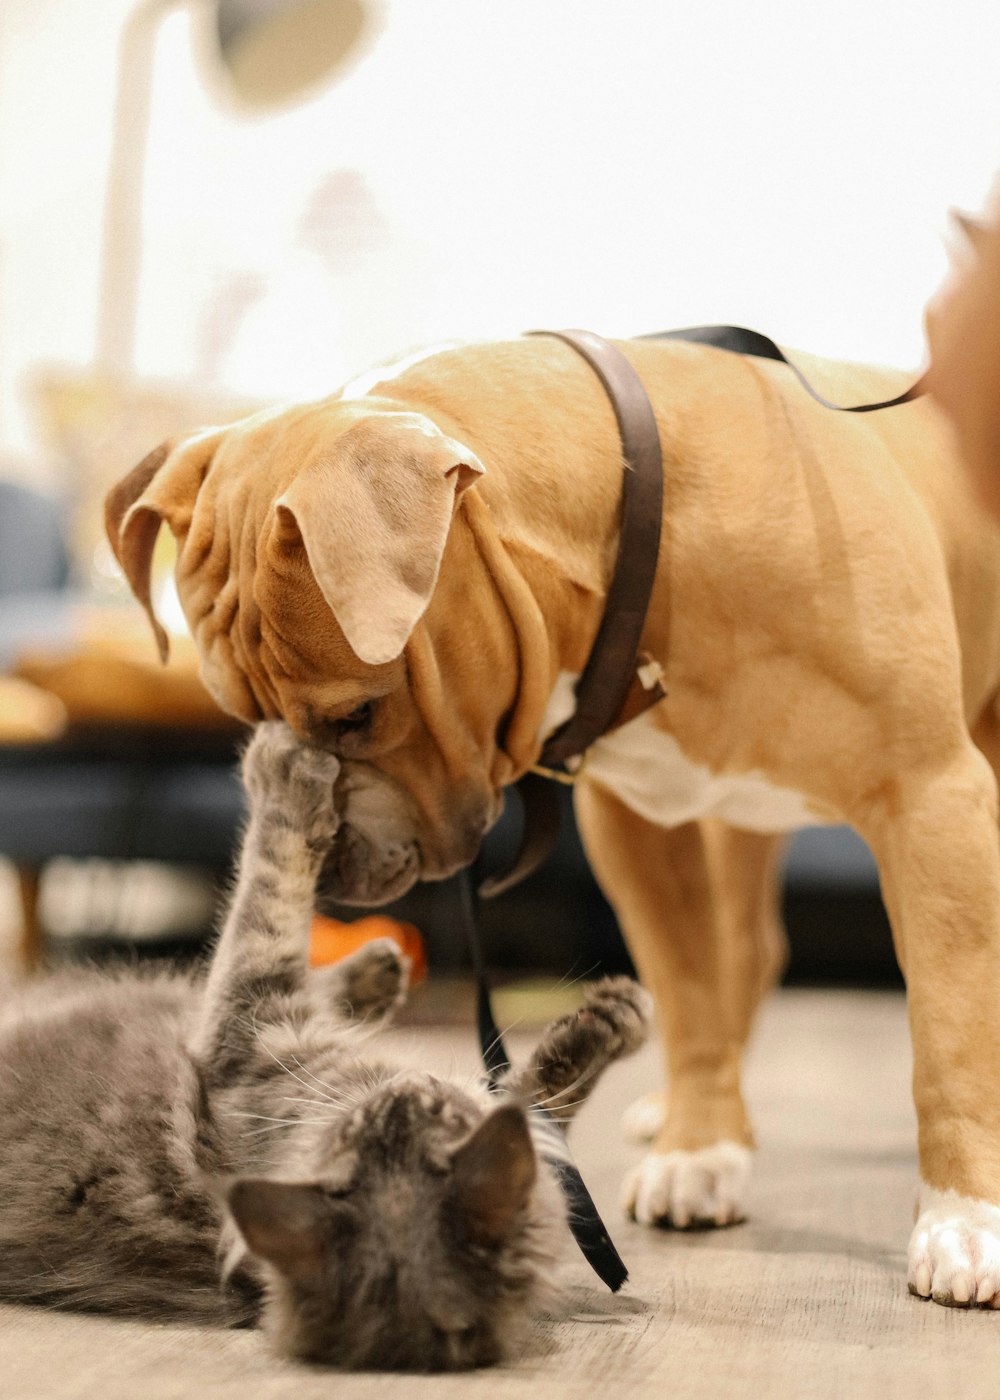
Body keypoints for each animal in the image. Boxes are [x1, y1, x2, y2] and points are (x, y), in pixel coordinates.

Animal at [0, 722, 647, 1366]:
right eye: (364, 1123)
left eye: (428, 1112)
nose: (412, 1085)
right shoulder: (249, 1031)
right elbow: (271, 892)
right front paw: (613, 1019)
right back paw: (376, 969)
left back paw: (374, 973)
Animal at [105, 333, 997, 1304]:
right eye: (242, 715)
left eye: (359, 715)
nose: (323, 862)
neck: (639, 537)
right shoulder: (644, 830)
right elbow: (690, 989)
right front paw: (699, 1148)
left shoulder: (931, 797)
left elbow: (949, 1033)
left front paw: (964, 1216)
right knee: (746, 955)